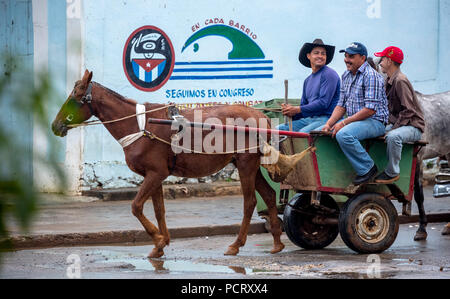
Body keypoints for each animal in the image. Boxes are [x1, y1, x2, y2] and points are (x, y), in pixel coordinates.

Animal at [51, 69, 284, 258]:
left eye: (76, 97)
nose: (55, 125)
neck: (138, 125)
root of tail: (259, 115)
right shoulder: (154, 174)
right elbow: (158, 210)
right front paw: (160, 244)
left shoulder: (156, 173)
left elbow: (136, 207)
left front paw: (158, 238)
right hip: (249, 164)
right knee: (269, 195)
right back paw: (277, 241)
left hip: (246, 163)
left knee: (249, 202)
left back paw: (236, 244)